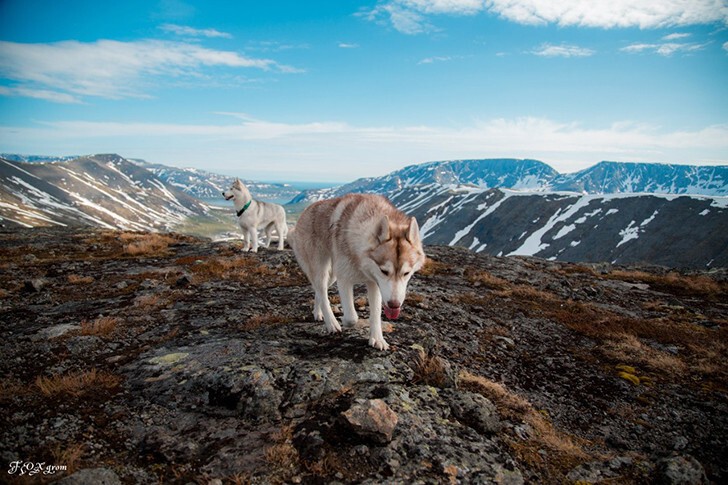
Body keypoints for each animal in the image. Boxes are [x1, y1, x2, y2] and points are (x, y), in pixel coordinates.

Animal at [290, 192, 426, 348]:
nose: (394, 304)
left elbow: (376, 313)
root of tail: (306, 210)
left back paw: (318, 313)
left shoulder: (374, 283)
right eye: (384, 271)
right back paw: (332, 324)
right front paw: (344, 321)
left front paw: (377, 339)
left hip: (332, 275)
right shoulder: (344, 280)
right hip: (321, 270)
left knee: (319, 291)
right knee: (322, 293)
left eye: (406, 273)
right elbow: (352, 317)